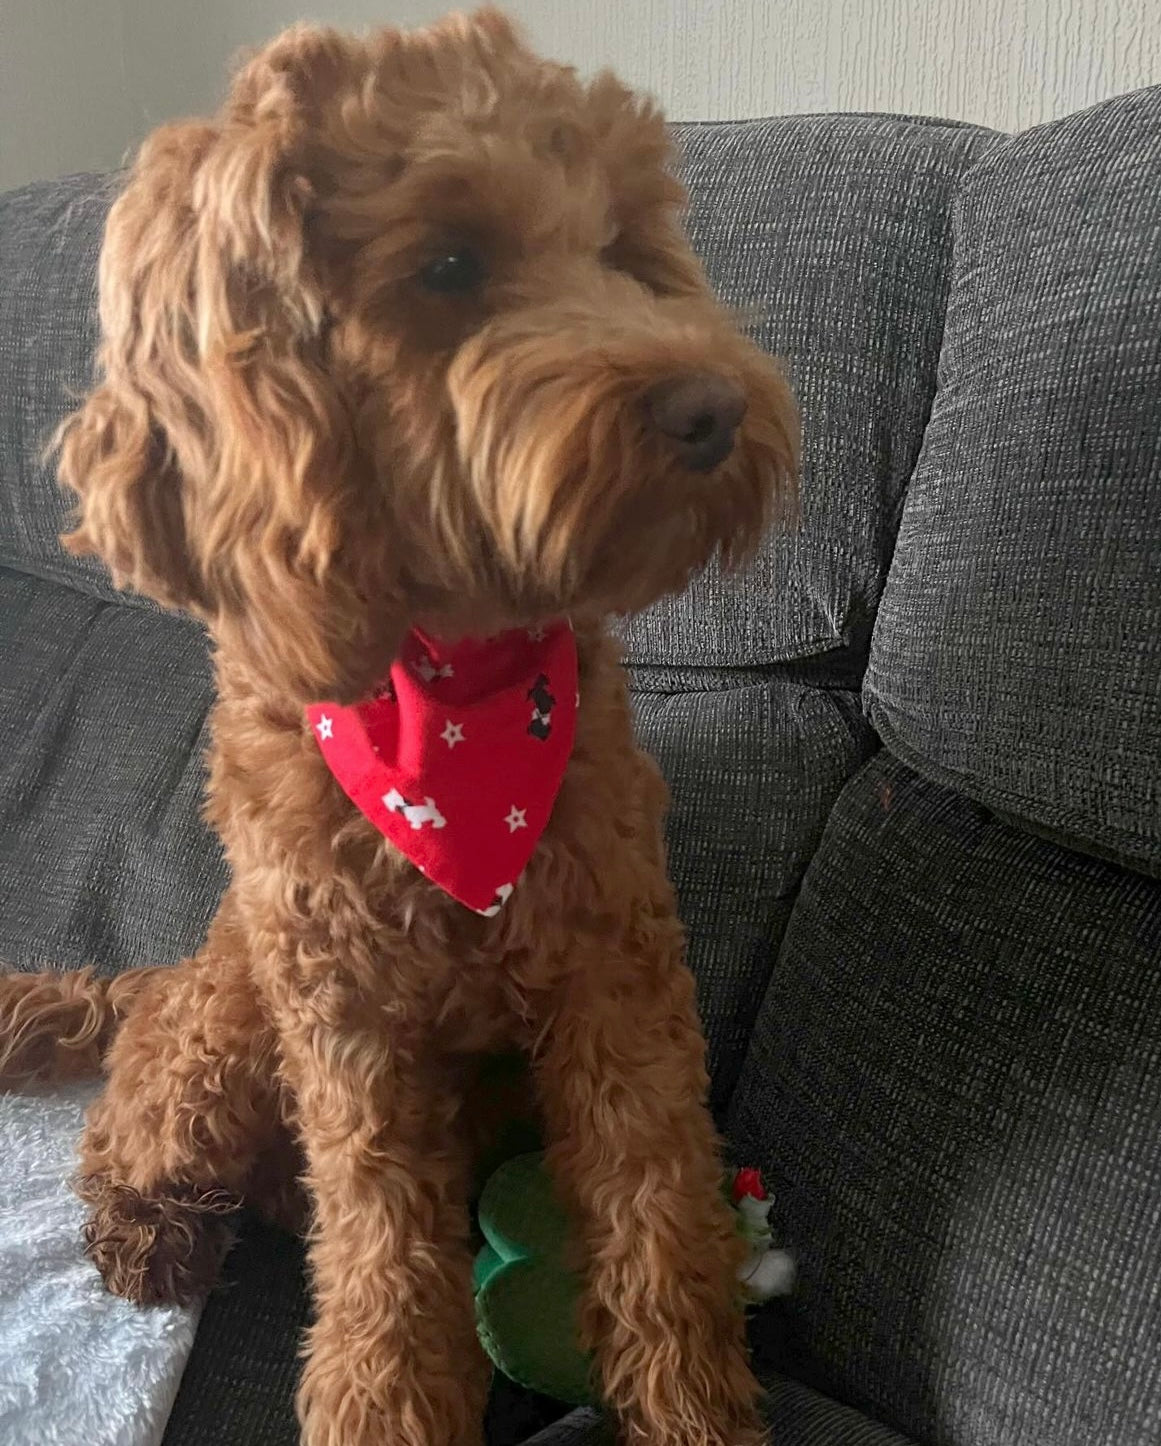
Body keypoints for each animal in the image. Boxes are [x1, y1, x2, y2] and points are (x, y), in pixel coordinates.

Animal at [0, 11, 798, 1446]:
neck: (458, 701)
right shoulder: (351, 1035)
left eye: (622, 245)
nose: (713, 408)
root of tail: (158, 973)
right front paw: (383, 1403)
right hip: (228, 1029)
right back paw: (148, 1234)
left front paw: (690, 1403)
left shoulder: (618, 976)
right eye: (448, 263)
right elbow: (380, 1260)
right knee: (126, 1129)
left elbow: (656, 1204)